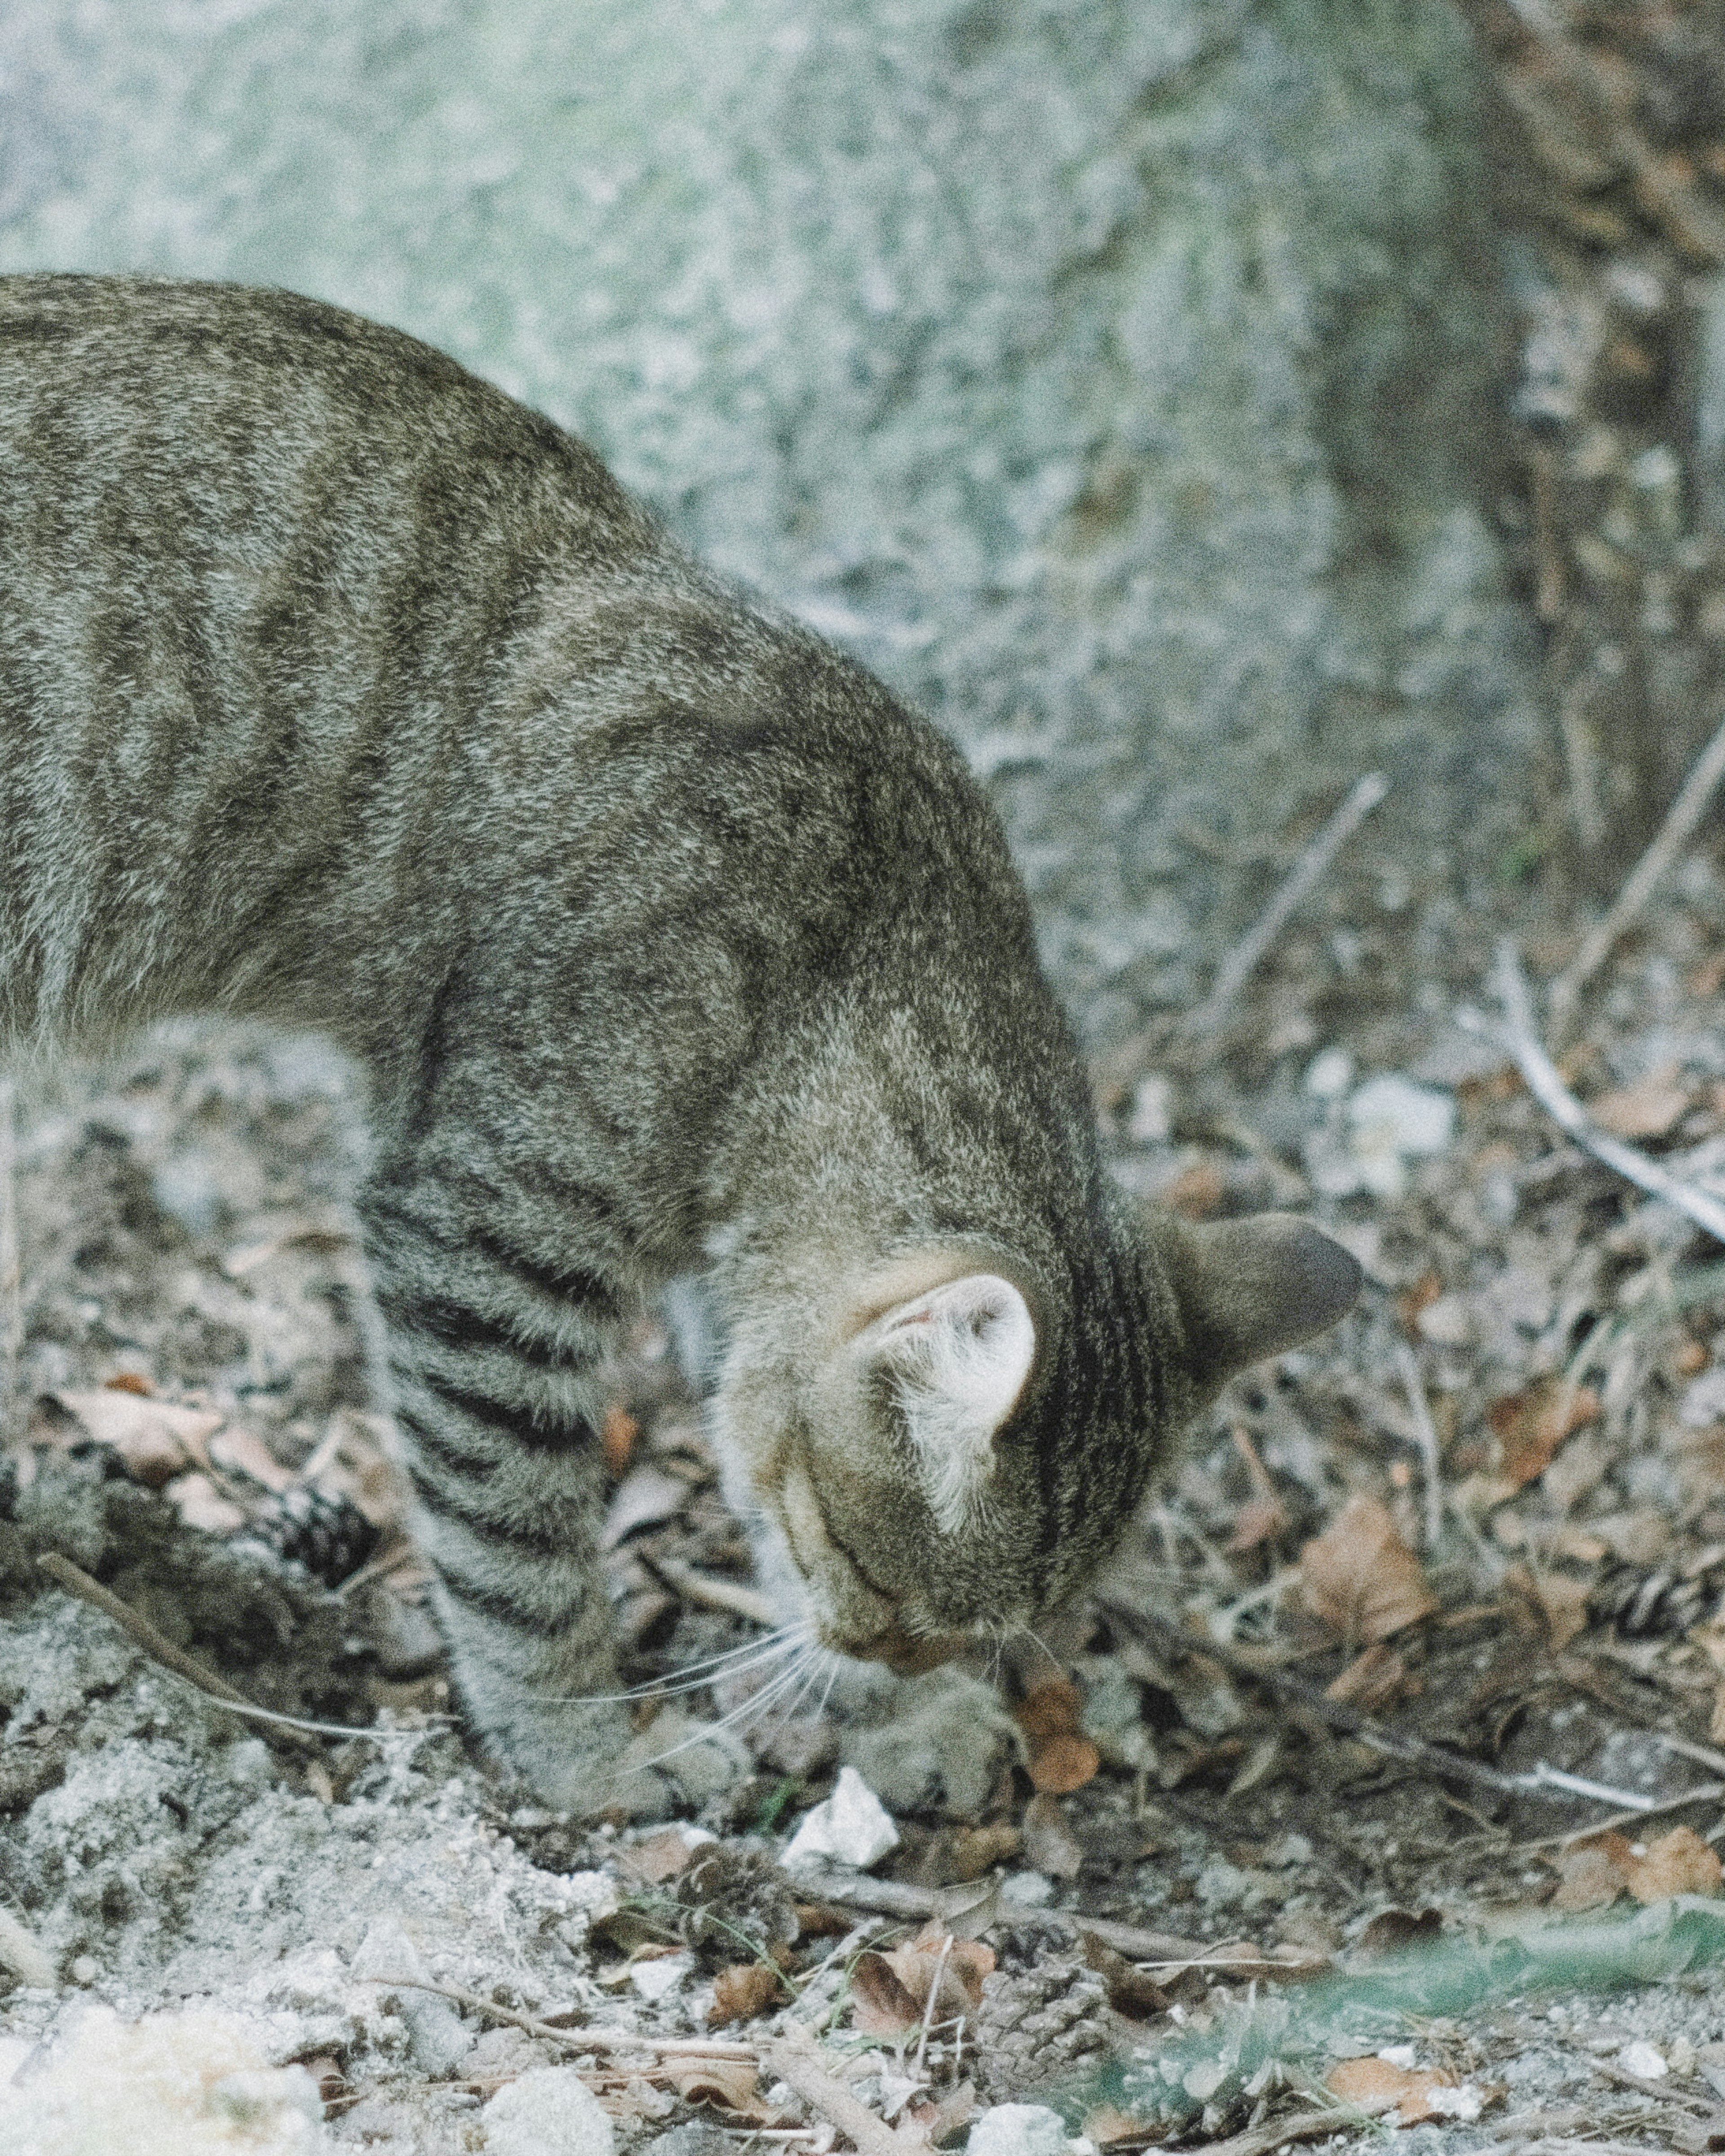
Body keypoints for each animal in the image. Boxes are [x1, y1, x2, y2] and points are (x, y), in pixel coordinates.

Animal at [0, 278, 1362, 1811]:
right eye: (879, 1576)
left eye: (973, 1623)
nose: (889, 1652)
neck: (851, 952)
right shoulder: (481, 1240)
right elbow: (515, 1541)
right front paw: (589, 1748)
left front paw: (898, 1719)